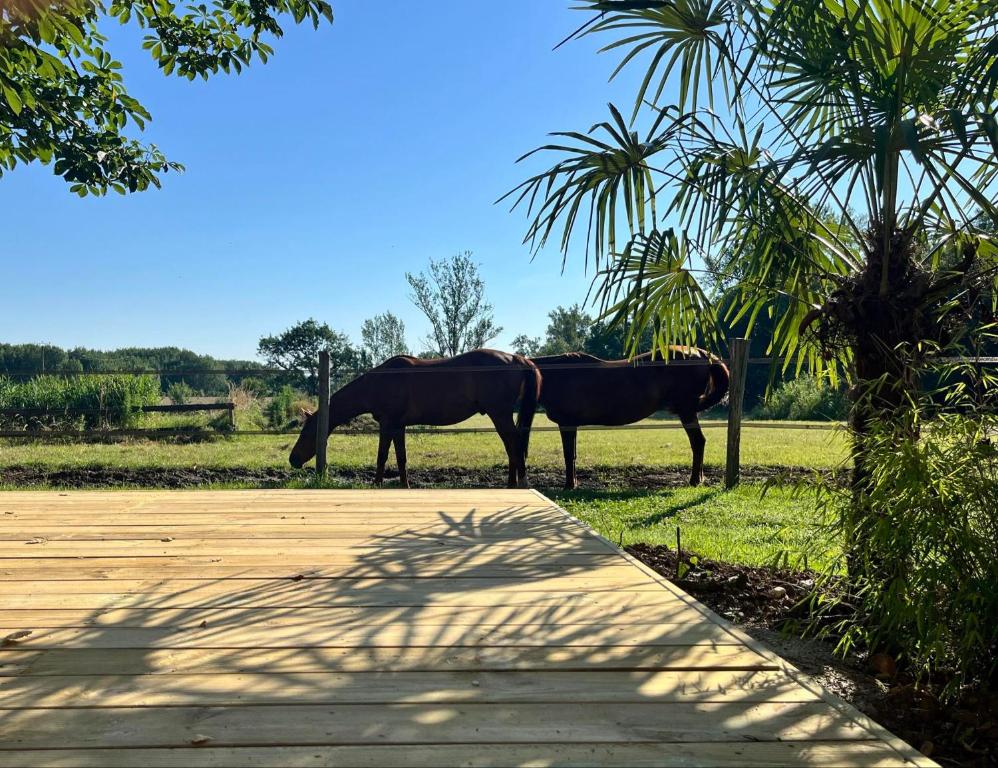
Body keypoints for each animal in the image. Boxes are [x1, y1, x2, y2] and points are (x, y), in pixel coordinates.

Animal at [289, 349, 541, 488]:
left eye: (306, 433)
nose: (293, 460)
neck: (379, 383)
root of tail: (517, 358)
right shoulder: (398, 426)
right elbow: (401, 458)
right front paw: (404, 485)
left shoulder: (387, 424)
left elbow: (381, 457)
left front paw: (377, 484)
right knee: (512, 447)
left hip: (500, 414)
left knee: (514, 446)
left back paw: (519, 484)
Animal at [530, 347, 729, 488]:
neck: (558, 374)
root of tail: (701, 354)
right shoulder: (571, 425)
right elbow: (572, 454)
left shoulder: (567, 423)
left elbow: (568, 455)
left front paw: (569, 485)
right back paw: (699, 478)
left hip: (687, 411)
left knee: (698, 442)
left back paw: (694, 480)